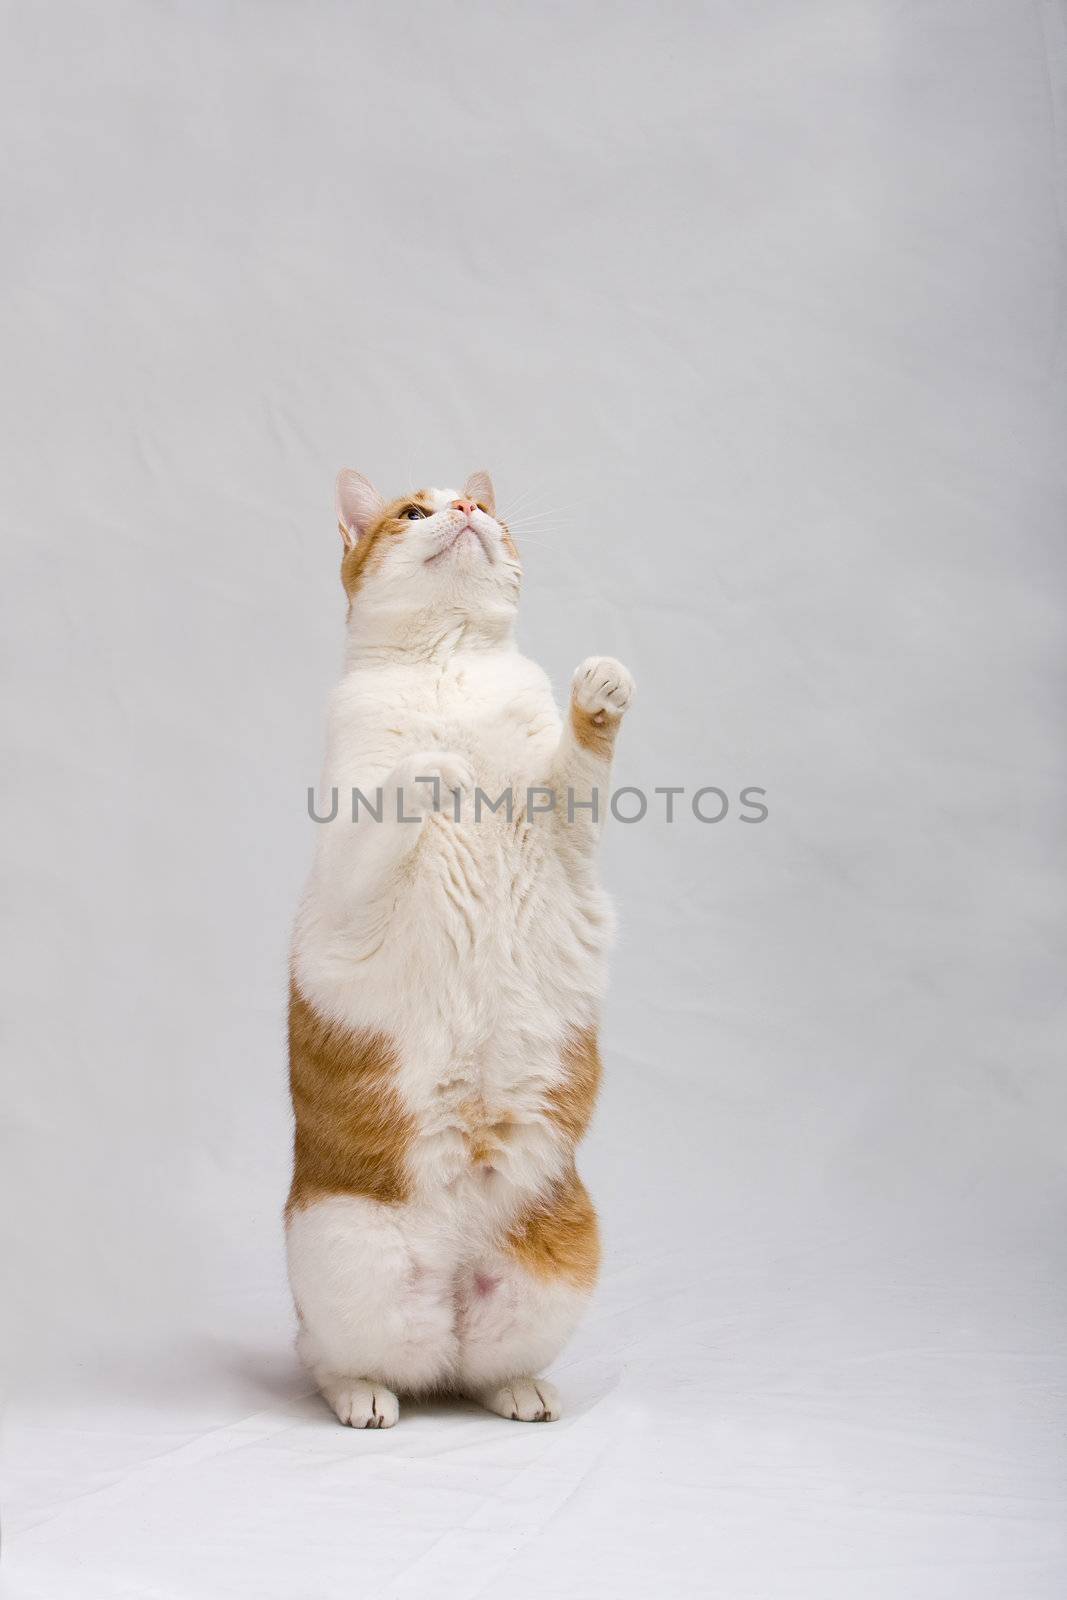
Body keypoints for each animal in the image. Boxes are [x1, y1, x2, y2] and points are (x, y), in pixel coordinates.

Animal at [283, 470, 633, 1427]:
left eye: (489, 512)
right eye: (412, 512)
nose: (470, 511)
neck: (451, 668)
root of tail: (451, 1271)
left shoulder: (565, 835)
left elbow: (575, 767)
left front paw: (600, 695)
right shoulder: (348, 878)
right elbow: (398, 791)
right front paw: (436, 768)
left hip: (561, 1254)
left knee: (478, 1367)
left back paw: (518, 1388)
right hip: (345, 1250)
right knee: (332, 1358)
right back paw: (364, 1395)